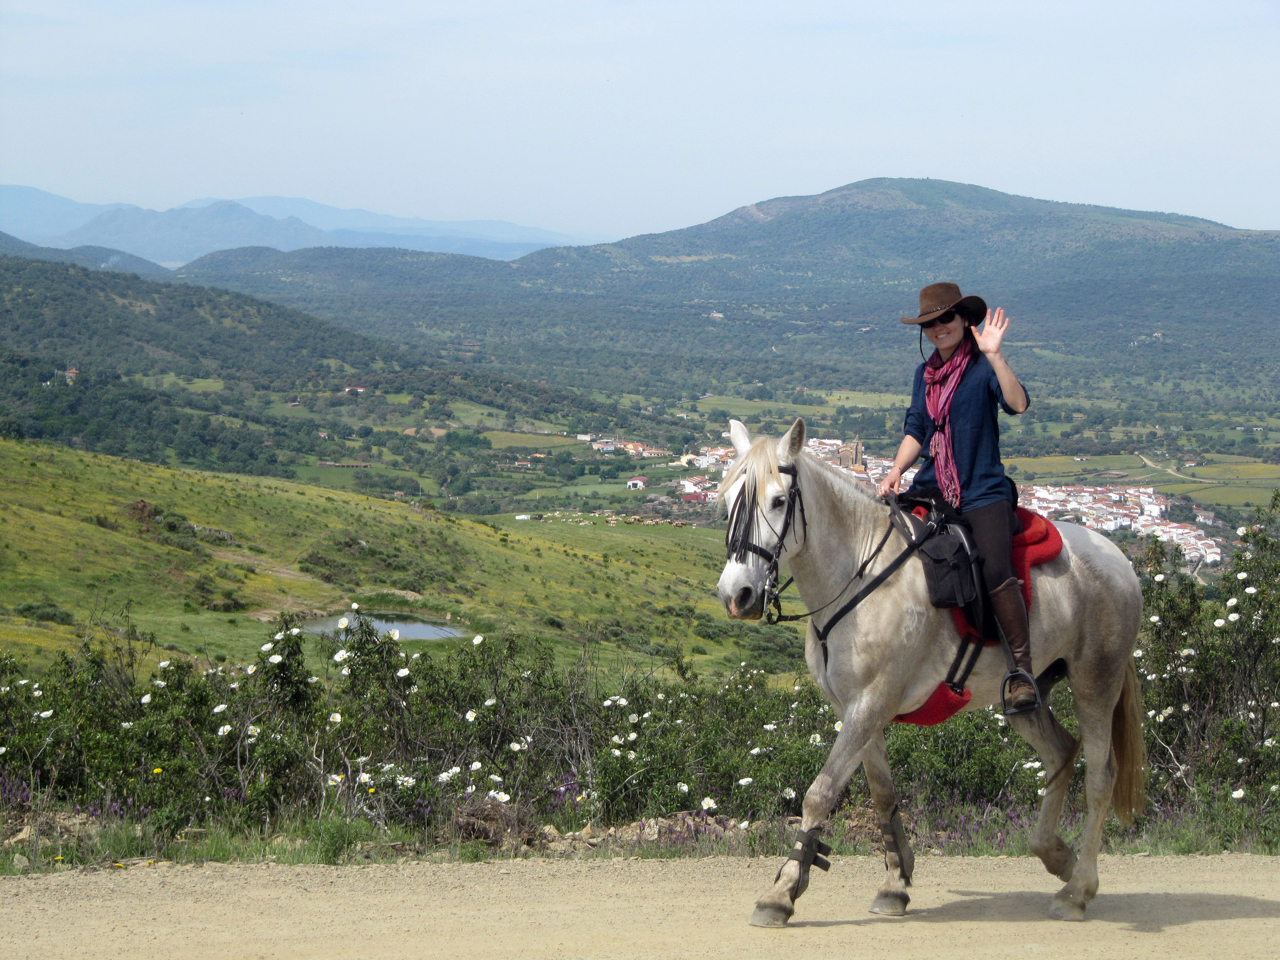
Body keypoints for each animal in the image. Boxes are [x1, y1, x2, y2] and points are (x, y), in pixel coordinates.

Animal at [716, 418, 1144, 925]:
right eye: (728, 500)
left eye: (779, 500)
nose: (736, 595)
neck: (858, 575)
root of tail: (1117, 558)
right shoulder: (857, 709)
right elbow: (882, 793)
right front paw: (894, 883)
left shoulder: (872, 702)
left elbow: (820, 793)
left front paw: (780, 893)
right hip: (1028, 694)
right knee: (1060, 752)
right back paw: (1056, 855)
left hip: (1096, 681)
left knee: (1100, 776)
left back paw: (1079, 890)